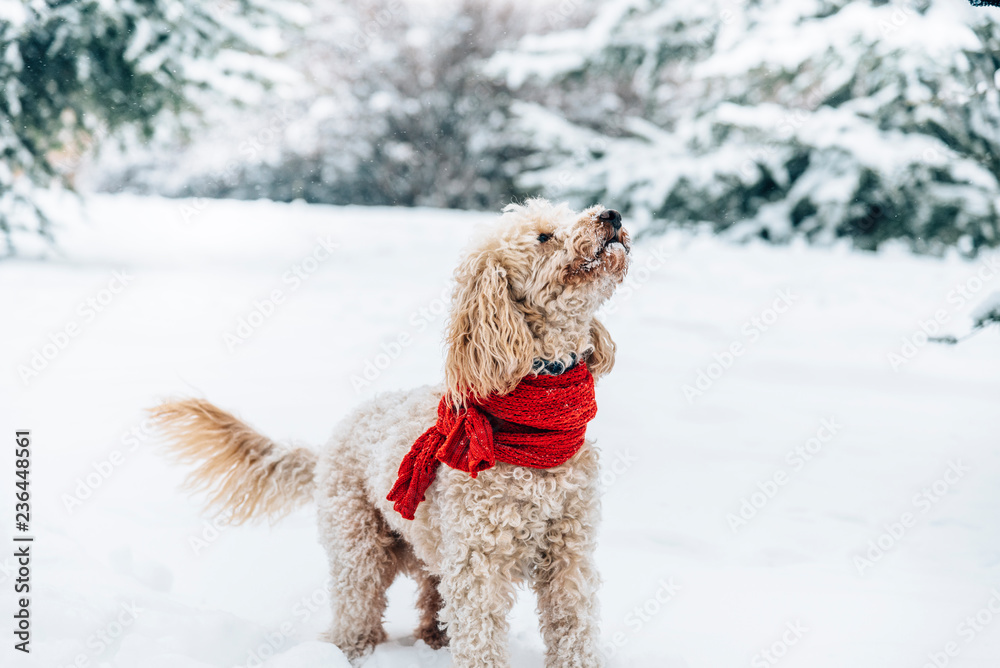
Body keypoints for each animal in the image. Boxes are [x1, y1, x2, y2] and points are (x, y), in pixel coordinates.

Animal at [149, 200, 632, 668]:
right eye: (543, 237)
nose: (611, 215)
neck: (540, 420)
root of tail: (331, 441)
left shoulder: (569, 554)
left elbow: (573, 628)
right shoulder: (477, 562)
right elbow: (480, 641)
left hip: (428, 547)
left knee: (431, 599)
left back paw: (433, 639)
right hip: (358, 544)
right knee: (357, 604)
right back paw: (349, 650)